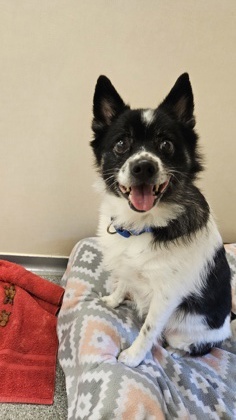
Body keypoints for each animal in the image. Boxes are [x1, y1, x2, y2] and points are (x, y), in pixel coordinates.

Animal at [90, 74, 232, 366]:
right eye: (121, 144)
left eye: (166, 145)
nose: (143, 166)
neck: (143, 224)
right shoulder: (127, 265)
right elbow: (123, 280)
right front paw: (113, 300)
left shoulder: (166, 296)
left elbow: (148, 329)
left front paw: (133, 357)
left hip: (186, 332)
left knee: (198, 347)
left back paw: (176, 352)